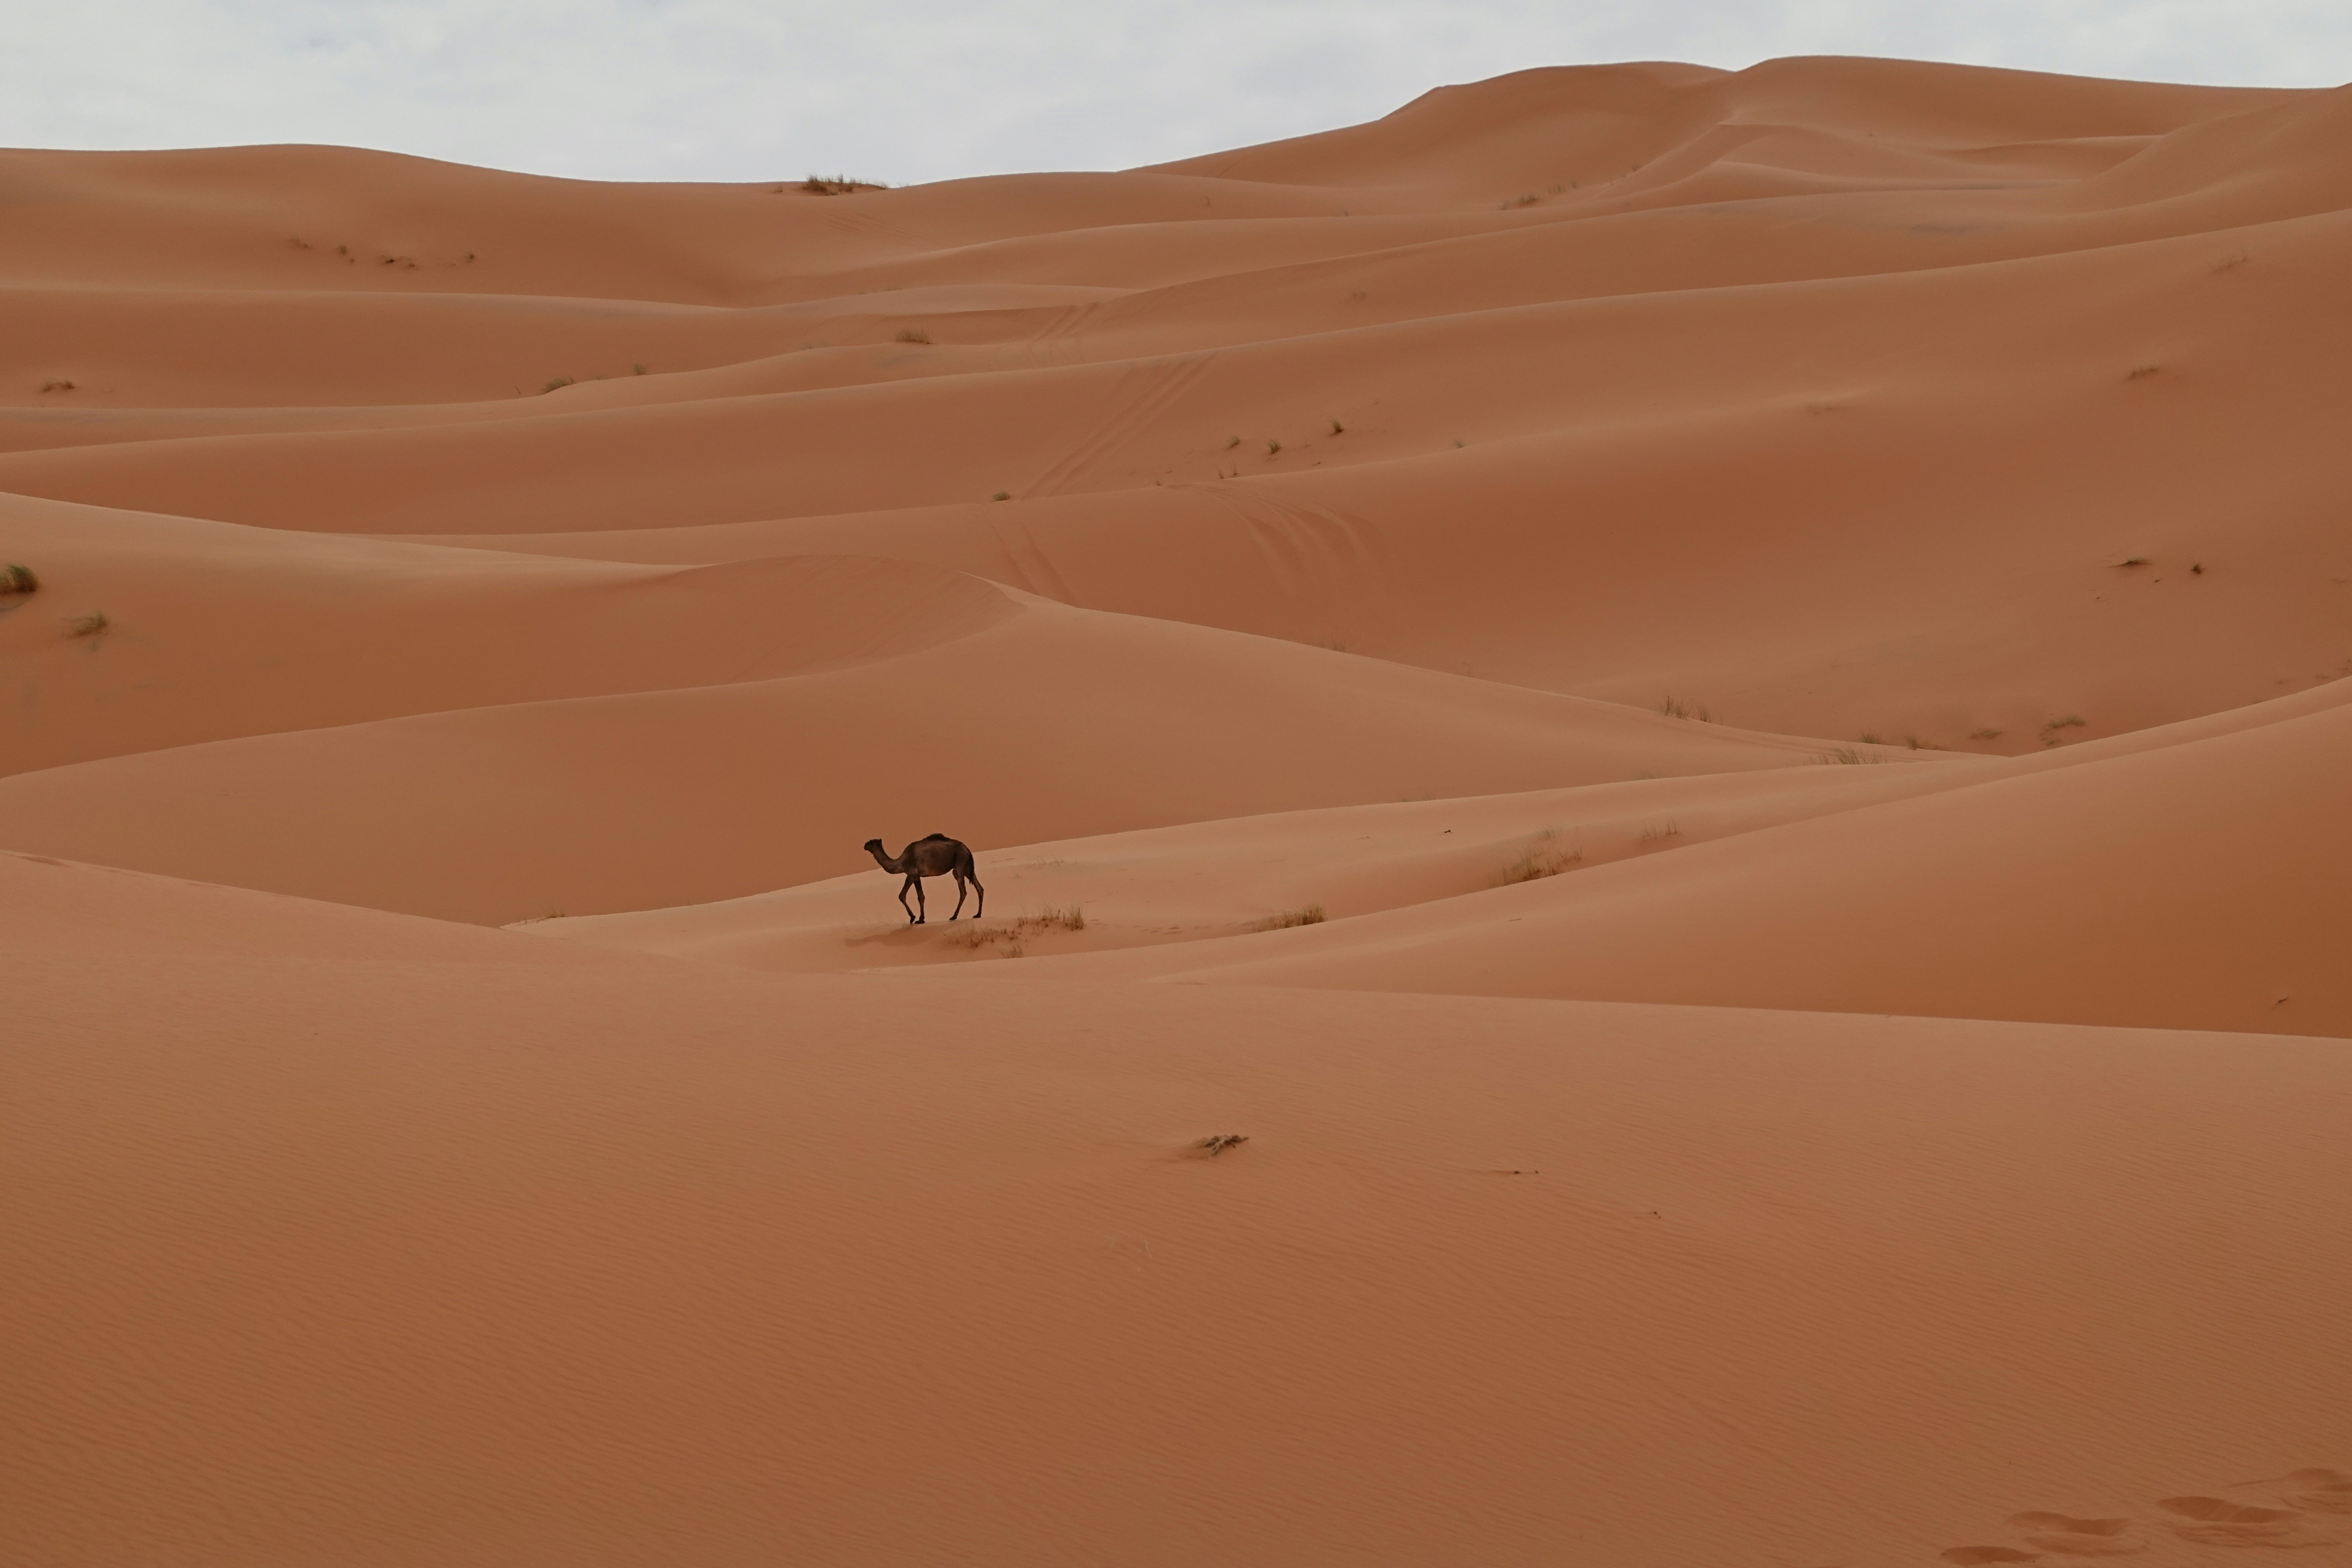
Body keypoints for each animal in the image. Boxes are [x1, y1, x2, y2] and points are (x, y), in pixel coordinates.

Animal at [863, 833, 984, 924]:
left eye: (870, 842)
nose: (864, 845)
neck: (901, 863)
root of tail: (967, 848)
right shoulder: (916, 876)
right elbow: (920, 896)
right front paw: (921, 919)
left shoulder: (913, 874)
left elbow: (905, 895)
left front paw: (915, 918)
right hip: (967, 867)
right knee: (980, 888)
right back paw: (978, 914)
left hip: (960, 860)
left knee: (963, 890)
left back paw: (954, 916)